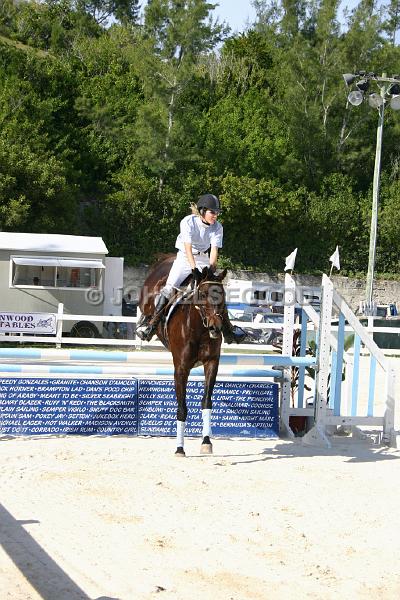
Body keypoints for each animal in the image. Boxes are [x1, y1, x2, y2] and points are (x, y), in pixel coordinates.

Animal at [138, 255, 227, 458]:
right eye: (203, 294)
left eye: (223, 295)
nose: (216, 327)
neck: (199, 328)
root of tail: (166, 258)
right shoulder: (181, 369)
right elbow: (182, 408)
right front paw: (180, 448)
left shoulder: (211, 363)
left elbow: (206, 402)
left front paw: (206, 442)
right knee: (152, 307)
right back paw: (145, 326)